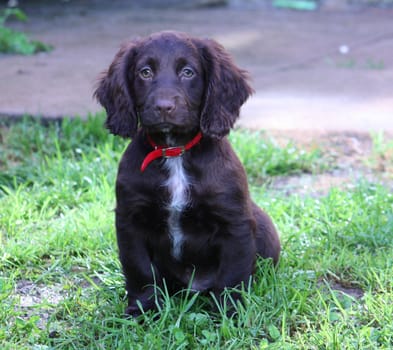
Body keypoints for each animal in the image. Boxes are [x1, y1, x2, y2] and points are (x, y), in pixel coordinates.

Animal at [94, 30, 278, 318]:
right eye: (145, 72)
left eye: (188, 72)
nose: (164, 107)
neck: (175, 152)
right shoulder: (129, 220)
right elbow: (140, 270)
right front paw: (142, 312)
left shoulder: (234, 222)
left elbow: (232, 274)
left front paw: (230, 315)